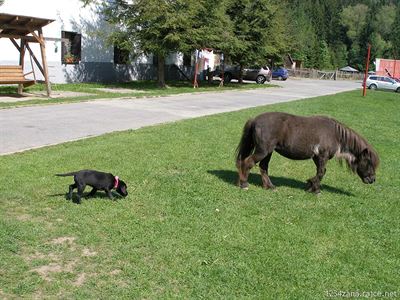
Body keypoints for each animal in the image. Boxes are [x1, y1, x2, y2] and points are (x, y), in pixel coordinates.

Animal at [236, 111, 380, 193]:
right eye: (369, 162)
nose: (372, 180)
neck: (334, 134)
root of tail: (255, 120)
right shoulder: (322, 156)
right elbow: (321, 172)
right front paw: (314, 189)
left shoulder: (317, 157)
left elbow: (320, 172)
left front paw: (312, 186)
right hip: (263, 151)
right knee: (248, 162)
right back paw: (244, 185)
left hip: (268, 152)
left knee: (263, 167)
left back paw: (270, 187)